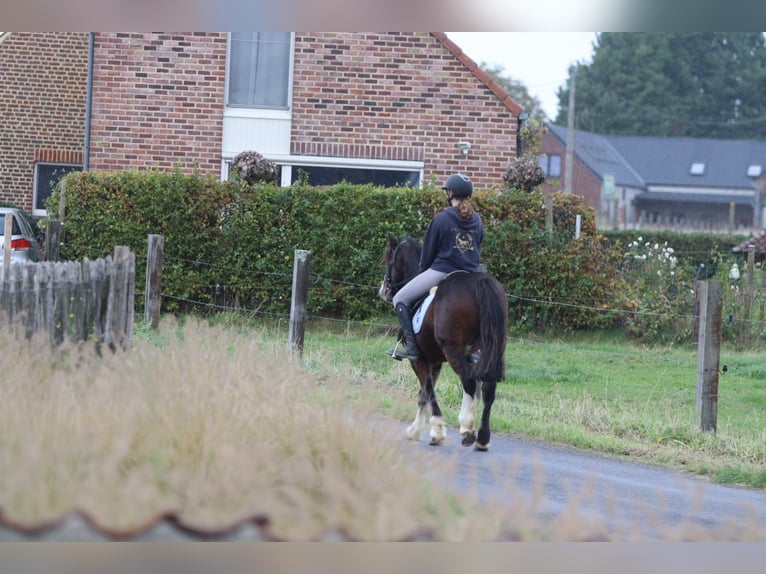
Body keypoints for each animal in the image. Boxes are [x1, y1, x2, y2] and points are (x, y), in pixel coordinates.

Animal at [379, 234, 508, 451]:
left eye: (390, 258)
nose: (384, 290)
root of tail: (481, 282)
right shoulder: (436, 360)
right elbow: (424, 393)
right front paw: (417, 429)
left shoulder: (419, 359)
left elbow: (428, 390)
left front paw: (435, 431)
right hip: (492, 351)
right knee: (488, 388)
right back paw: (482, 438)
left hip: (453, 351)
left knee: (469, 381)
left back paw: (467, 428)